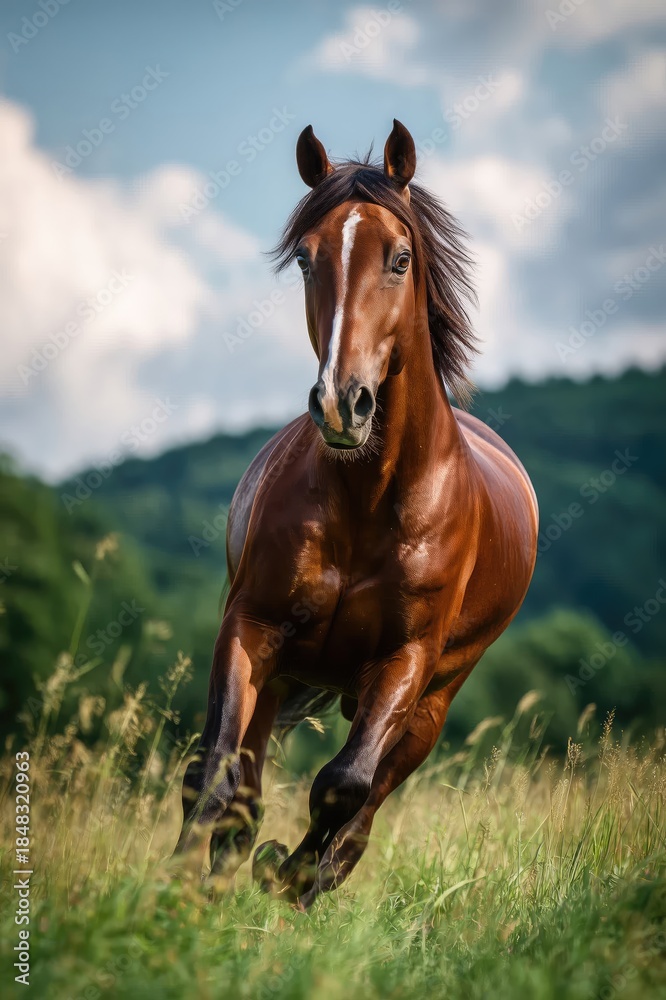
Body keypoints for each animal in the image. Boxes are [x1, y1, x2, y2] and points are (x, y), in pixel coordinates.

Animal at [173, 120, 538, 909]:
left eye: (400, 259)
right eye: (306, 259)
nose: (344, 403)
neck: (369, 501)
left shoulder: (405, 660)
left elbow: (341, 788)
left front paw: (284, 874)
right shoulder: (251, 626)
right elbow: (214, 771)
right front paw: (179, 888)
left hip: (431, 703)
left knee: (363, 811)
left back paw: (297, 877)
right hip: (282, 674)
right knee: (247, 784)